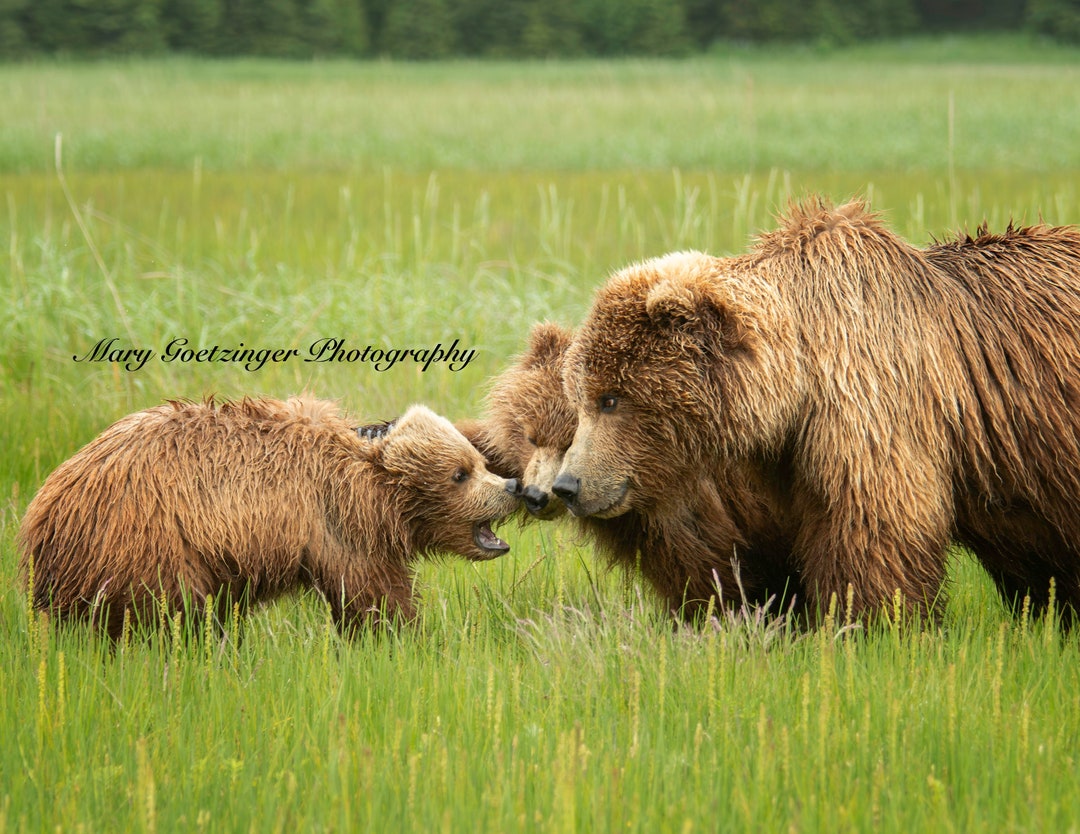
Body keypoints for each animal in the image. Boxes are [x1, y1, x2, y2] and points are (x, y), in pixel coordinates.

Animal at [18, 397, 522, 639]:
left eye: (480, 461)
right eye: (460, 473)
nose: (511, 488)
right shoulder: (333, 523)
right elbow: (374, 595)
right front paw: (404, 639)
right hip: (149, 541)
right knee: (172, 613)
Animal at [553, 199, 1080, 624]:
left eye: (610, 398)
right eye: (578, 395)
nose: (567, 485)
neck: (799, 378)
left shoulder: (873, 401)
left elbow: (873, 528)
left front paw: (869, 624)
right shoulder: (795, 458)